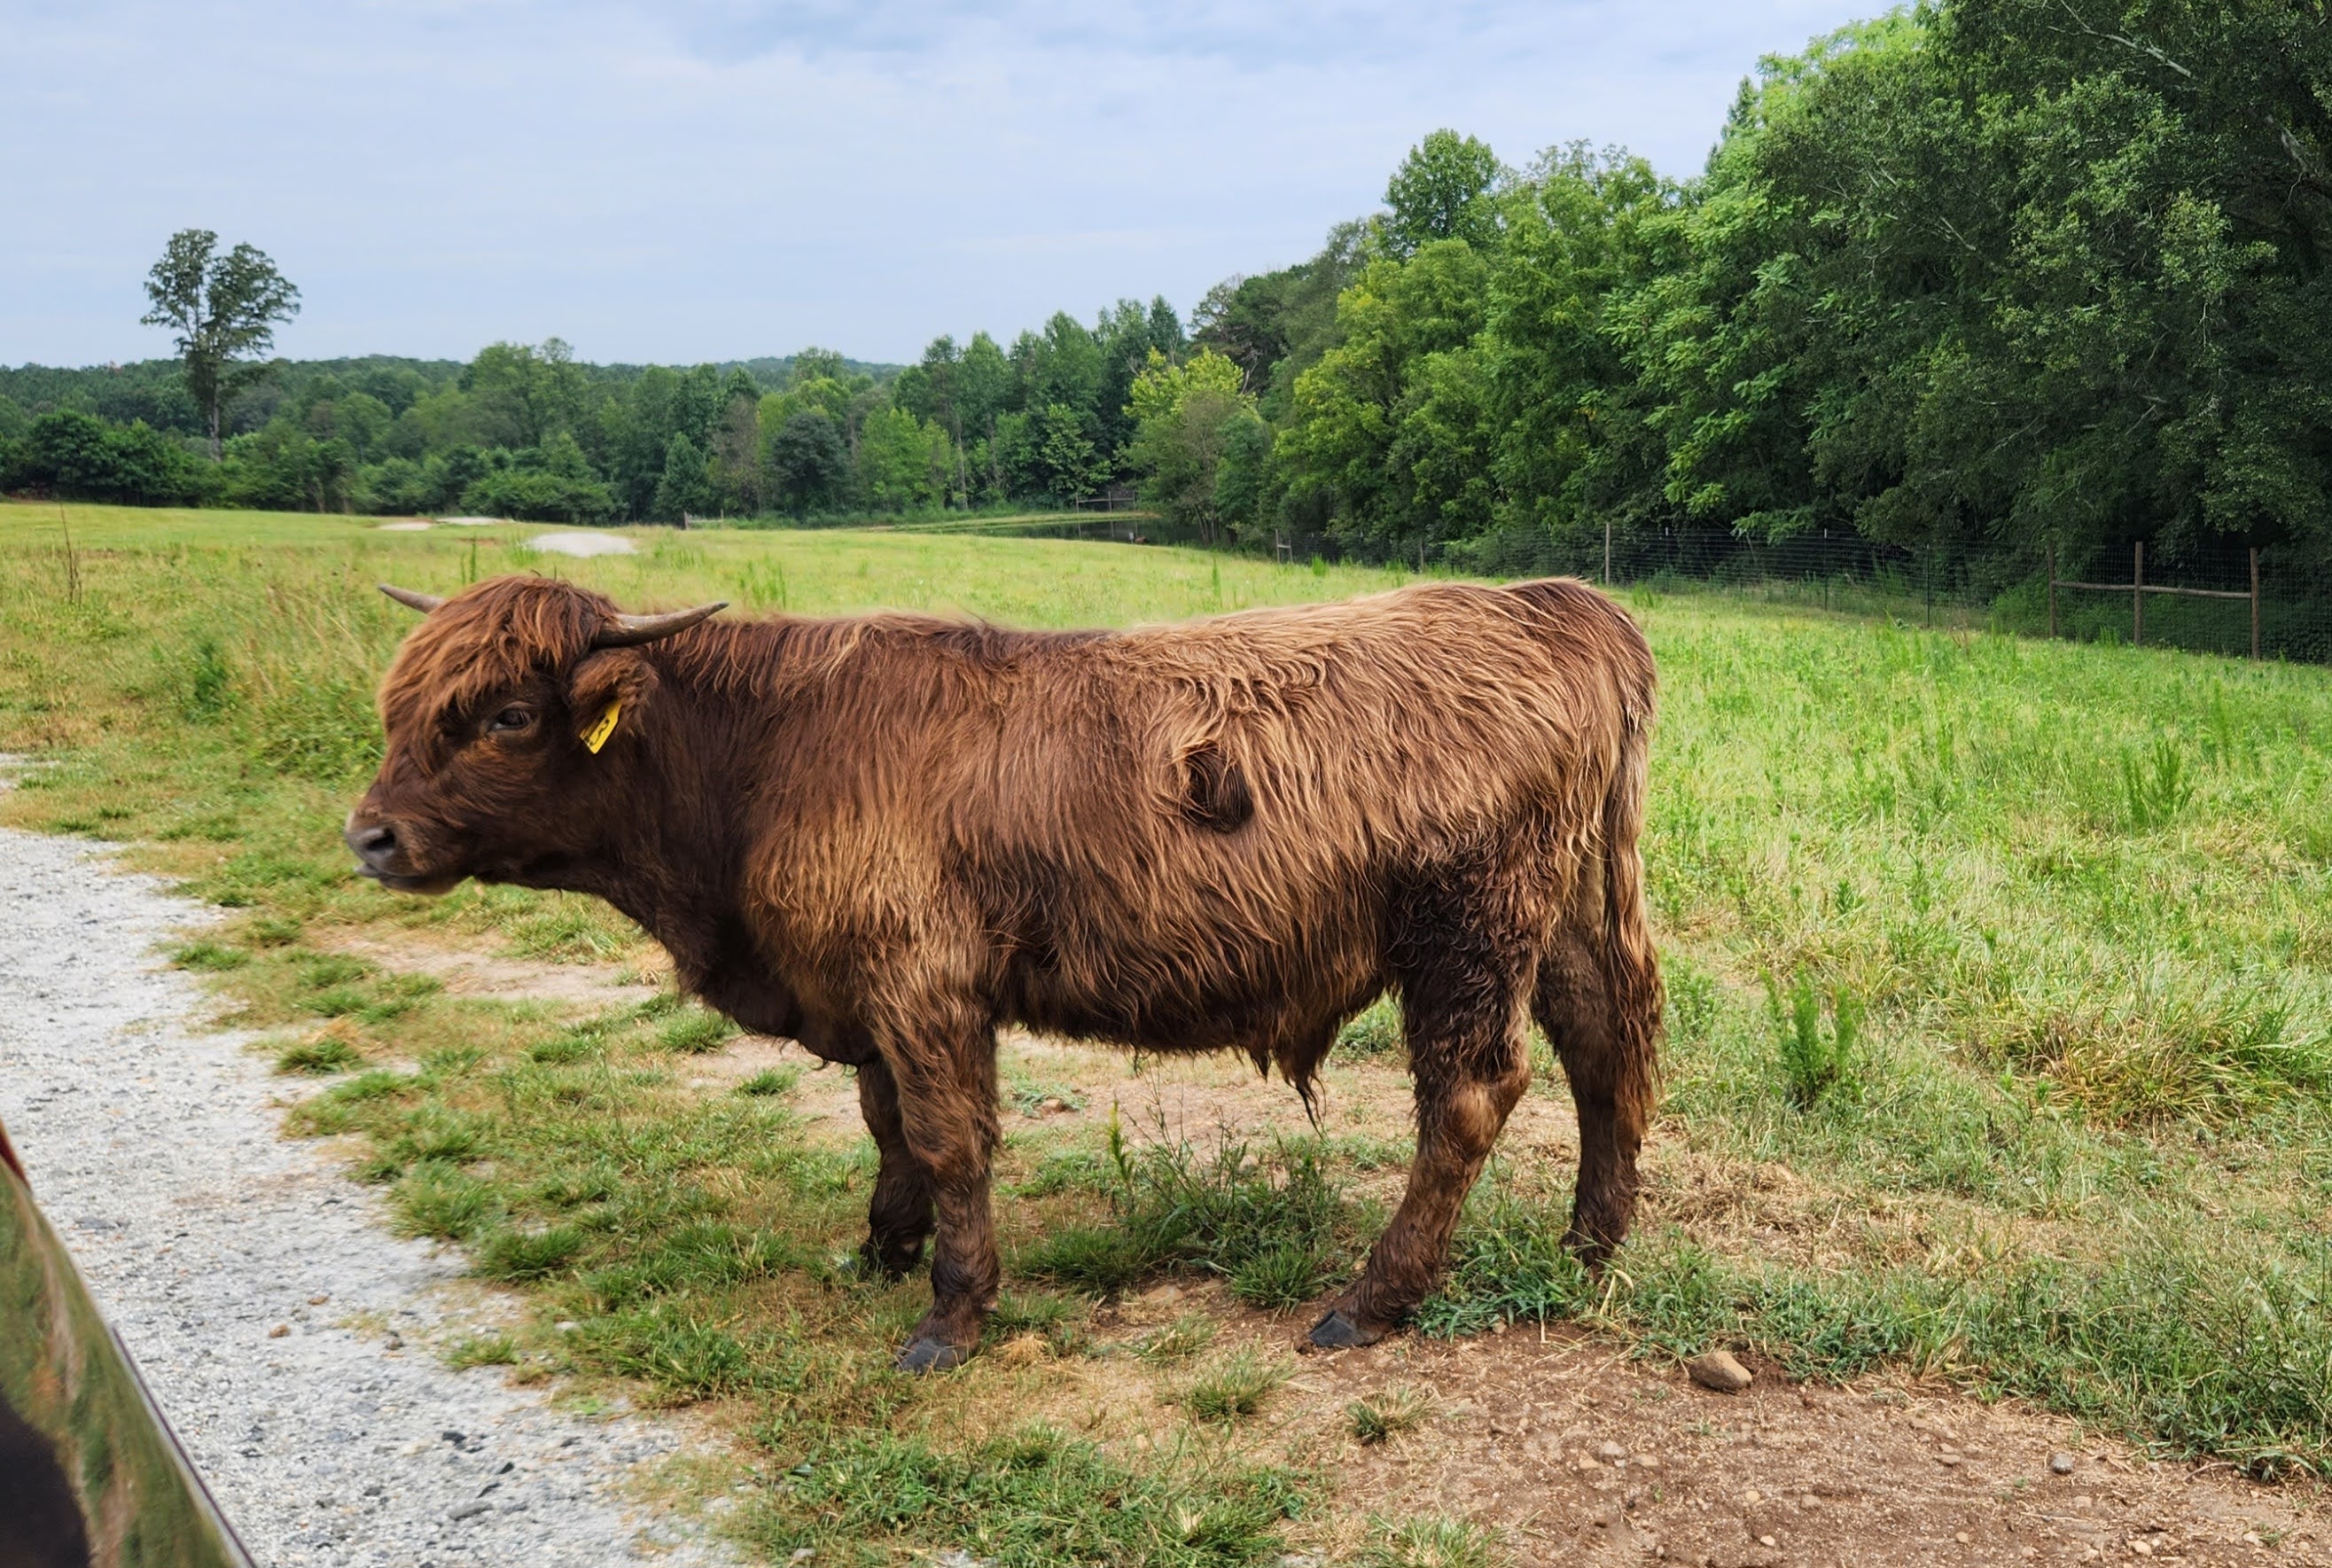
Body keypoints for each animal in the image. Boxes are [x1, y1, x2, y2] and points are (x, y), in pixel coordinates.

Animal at [347, 572, 1662, 1371]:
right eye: (396, 703)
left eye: (506, 717)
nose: (369, 836)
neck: (766, 753)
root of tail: (1550, 602)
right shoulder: (868, 990)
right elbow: (883, 1119)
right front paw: (880, 1246)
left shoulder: (924, 981)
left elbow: (946, 1136)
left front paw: (951, 1307)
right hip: (1558, 922)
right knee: (1608, 1048)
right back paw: (1589, 1243)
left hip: (1466, 936)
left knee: (1469, 1097)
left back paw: (1371, 1299)